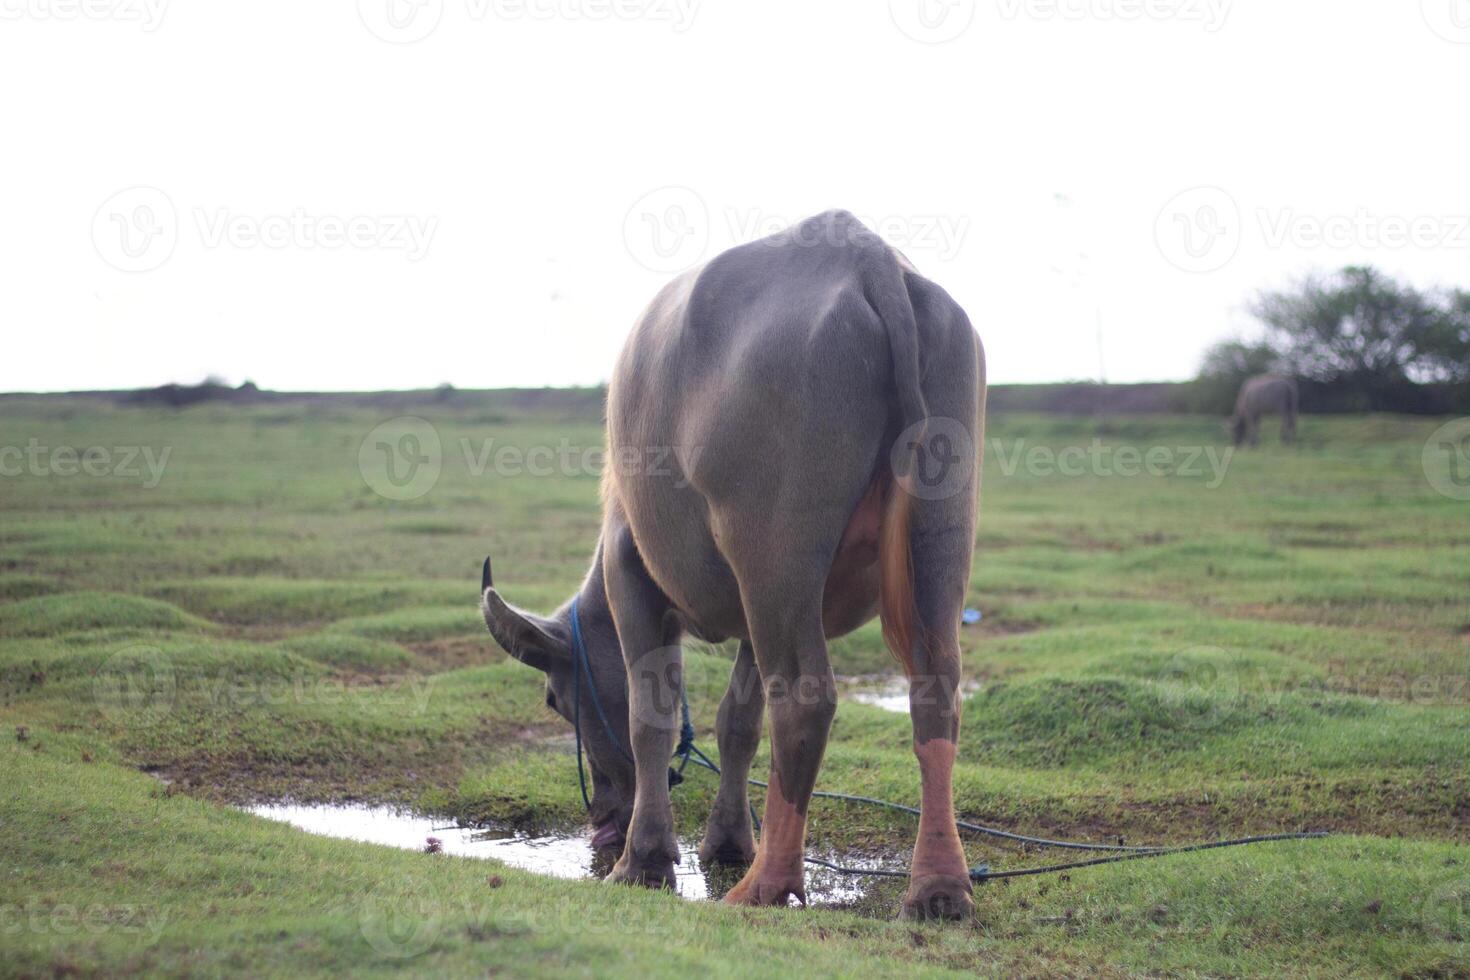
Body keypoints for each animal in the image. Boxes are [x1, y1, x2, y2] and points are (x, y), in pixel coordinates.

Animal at [485, 208, 987, 922]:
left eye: (555, 698)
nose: (602, 820)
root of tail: (867, 260)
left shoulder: (630, 570)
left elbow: (650, 715)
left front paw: (645, 860)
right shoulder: (751, 616)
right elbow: (737, 722)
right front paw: (725, 840)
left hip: (774, 554)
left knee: (805, 696)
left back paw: (768, 884)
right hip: (933, 533)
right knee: (935, 688)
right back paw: (937, 888)